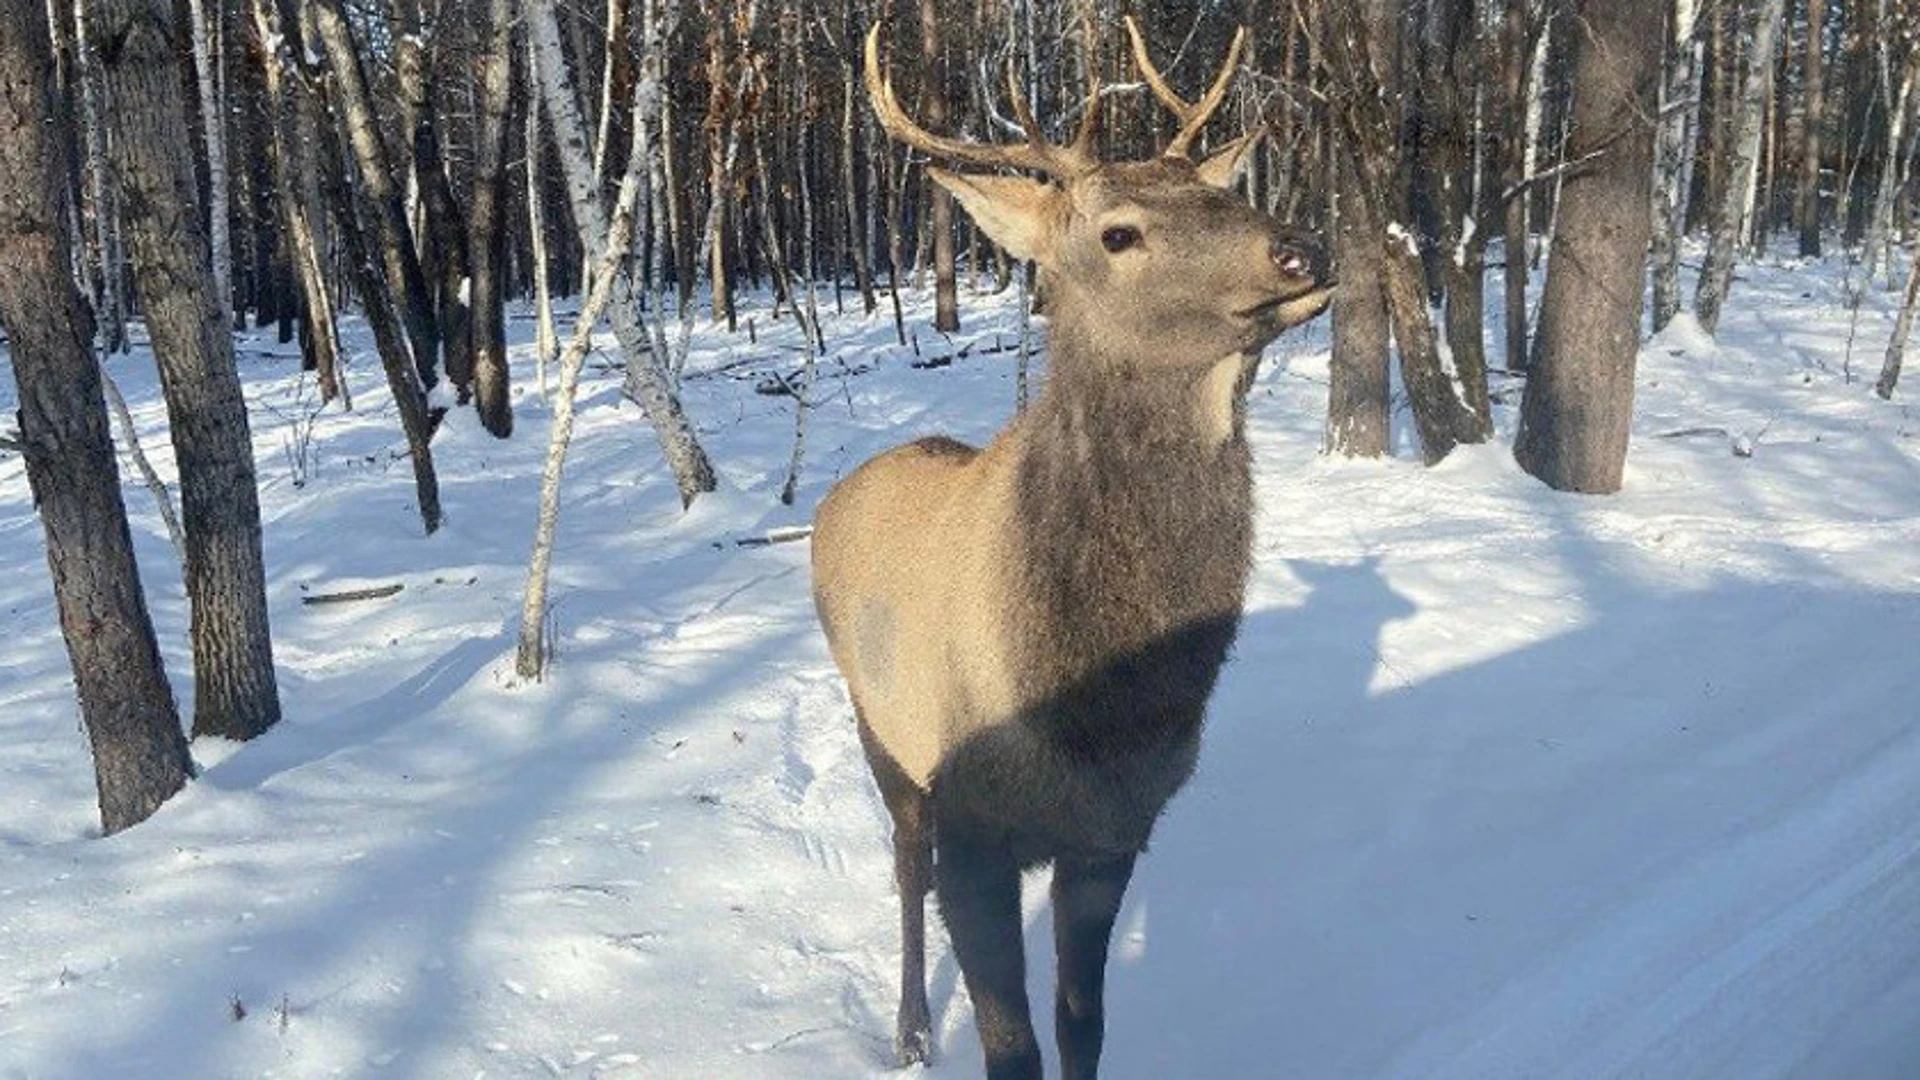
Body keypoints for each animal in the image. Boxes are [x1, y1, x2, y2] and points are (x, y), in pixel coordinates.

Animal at [810, 18, 1336, 1076]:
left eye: (1223, 192)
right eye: (1117, 232)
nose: (1304, 248)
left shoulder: (1115, 831)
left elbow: (1081, 1022)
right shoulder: (973, 821)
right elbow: (1010, 1042)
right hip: (879, 724)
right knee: (903, 869)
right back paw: (910, 1030)